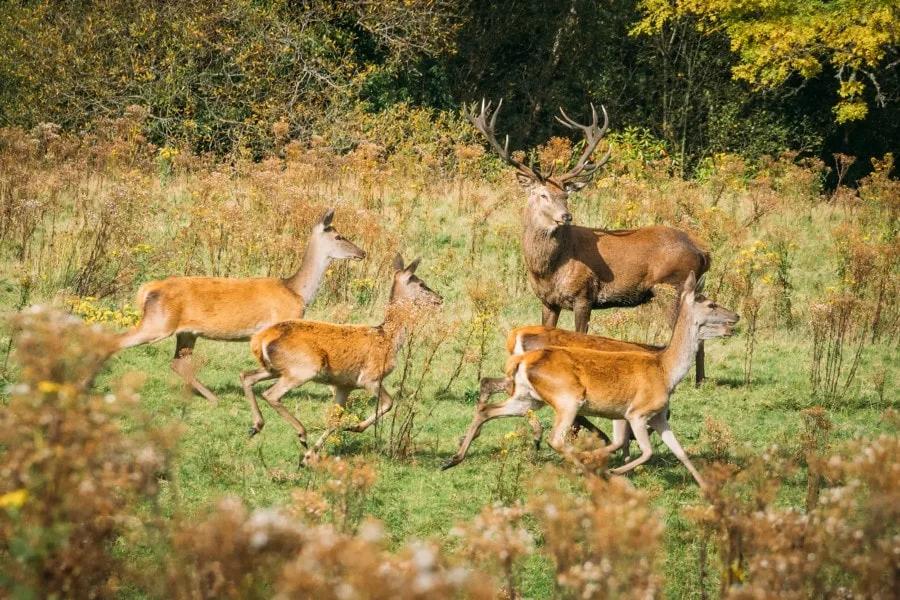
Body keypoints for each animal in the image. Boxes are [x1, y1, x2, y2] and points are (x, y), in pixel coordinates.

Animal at [117, 207, 366, 404]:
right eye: (338, 236)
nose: (362, 252)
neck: (296, 291)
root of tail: (149, 288)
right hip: (158, 323)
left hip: (187, 332)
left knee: (178, 363)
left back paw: (213, 397)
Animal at [241, 253, 442, 464]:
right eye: (420, 283)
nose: (439, 298)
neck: (388, 339)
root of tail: (261, 339)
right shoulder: (369, 377)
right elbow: (389, 403)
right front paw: (354, 427)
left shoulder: (345, 385)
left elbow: (333, 419)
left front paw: (309, 457)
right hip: (304, 368)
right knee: (271, 394)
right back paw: (301, 434)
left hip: (273, 368)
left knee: (246, 376)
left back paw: (256, 426)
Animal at [442, 272, 740, 488]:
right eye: (711, 303)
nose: (734, 318)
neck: (665, 370)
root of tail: (520, 352)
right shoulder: (635, 412)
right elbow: (645, 451)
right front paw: (615, 470)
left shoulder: (655, 416)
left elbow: (680, 452)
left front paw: (707, 488)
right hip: (567, 397)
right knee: (555, 438)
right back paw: (584, 465)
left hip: (527, 397)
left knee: (488, 407)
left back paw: (453, 458)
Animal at [464, 98, 712, 380]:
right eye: (542, 195)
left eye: (566, 195)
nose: (566, 216)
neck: (548, 269)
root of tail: (703, 252)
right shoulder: (547, 301)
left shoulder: (584, 295)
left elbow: (580, 338)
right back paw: (699, 380)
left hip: (674, 285)